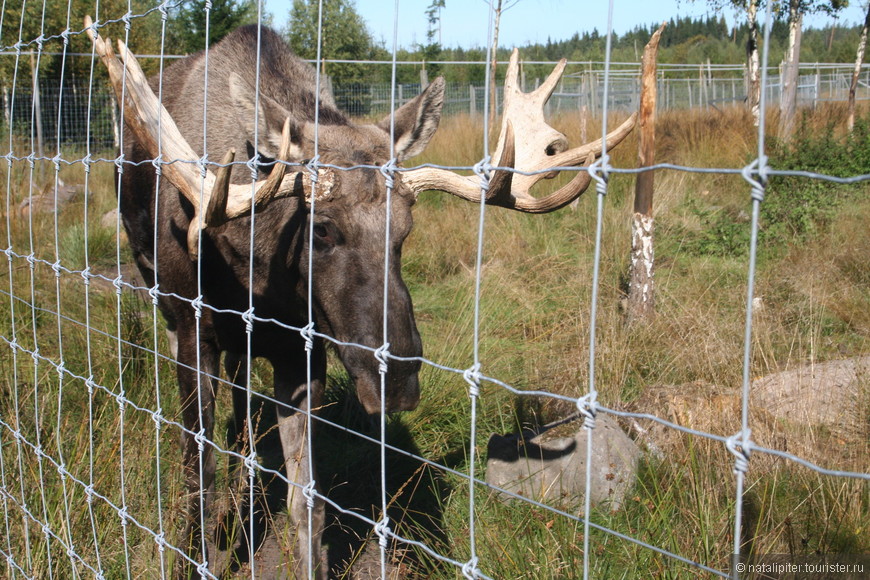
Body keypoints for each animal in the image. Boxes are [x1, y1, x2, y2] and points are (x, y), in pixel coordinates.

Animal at [88, 20, 632, 576]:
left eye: (406, 231)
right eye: (322, 228)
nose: (398, 378)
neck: (253, 270)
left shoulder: (300, 349)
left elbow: (307, 501)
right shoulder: (193, 327)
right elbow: (197, 476)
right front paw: (194, 556)